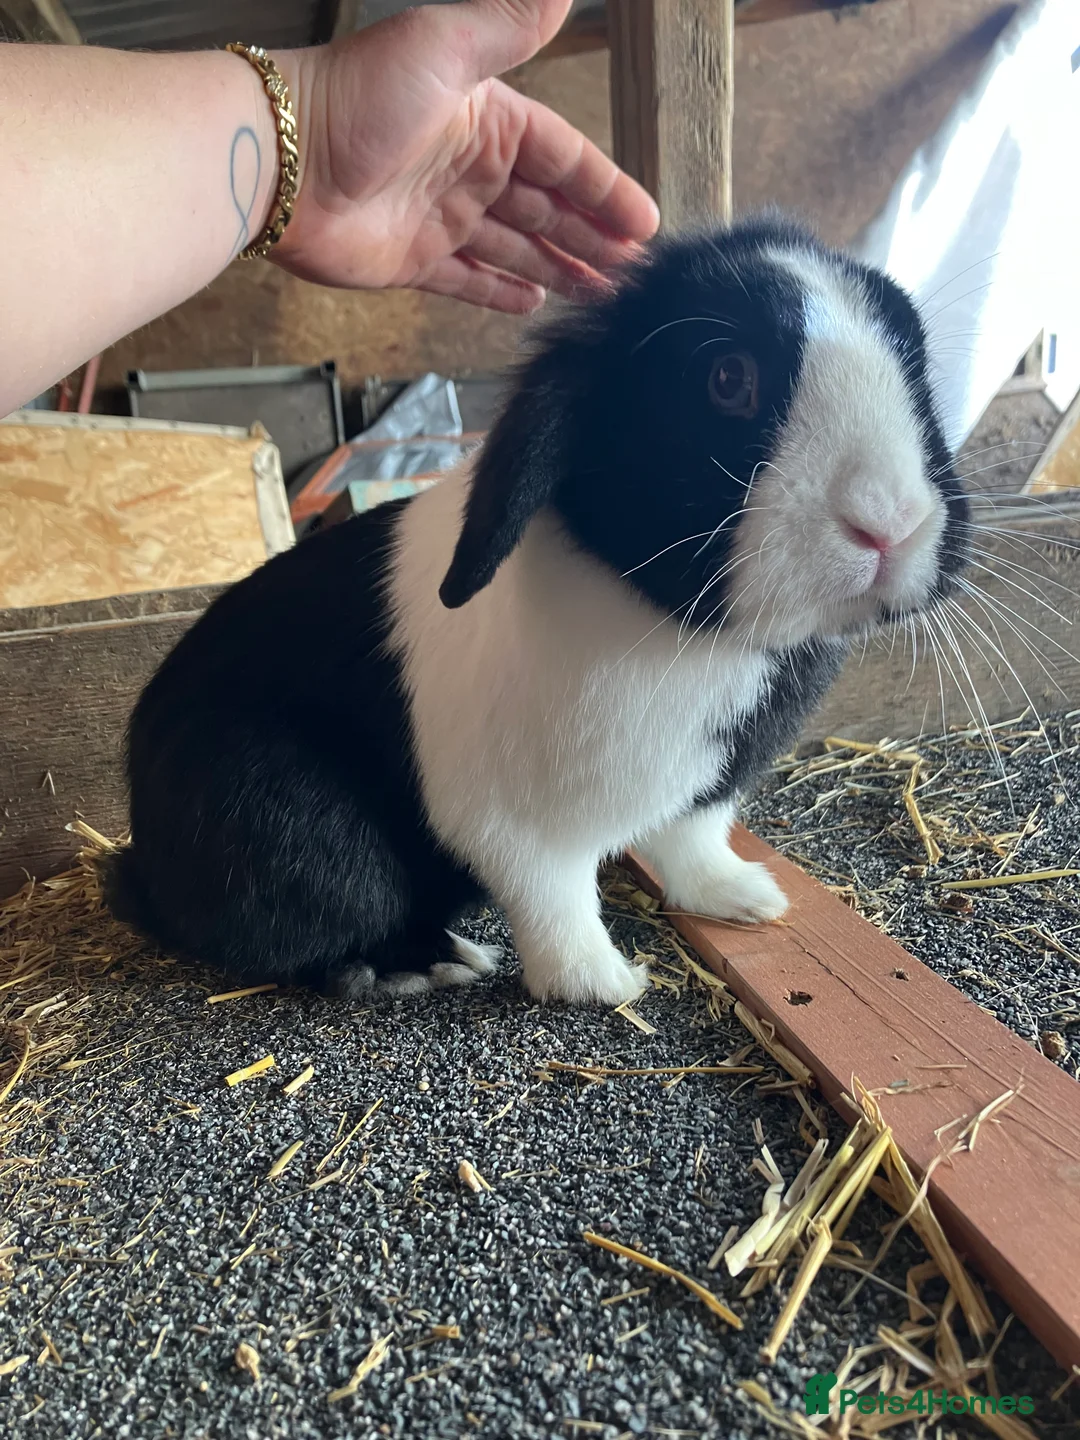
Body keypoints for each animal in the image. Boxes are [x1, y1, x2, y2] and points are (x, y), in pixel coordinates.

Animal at [102, 215, 970, 1006]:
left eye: (915, 364)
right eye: (728, 379)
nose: (888, 523)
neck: (696, 633)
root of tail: (142, 860)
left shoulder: (702, 791)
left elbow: (691, 844)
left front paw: (745, 899)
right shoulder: (517, 827)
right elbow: (554, 900)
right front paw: (603, 985)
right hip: (290, 817)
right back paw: (427, 963)